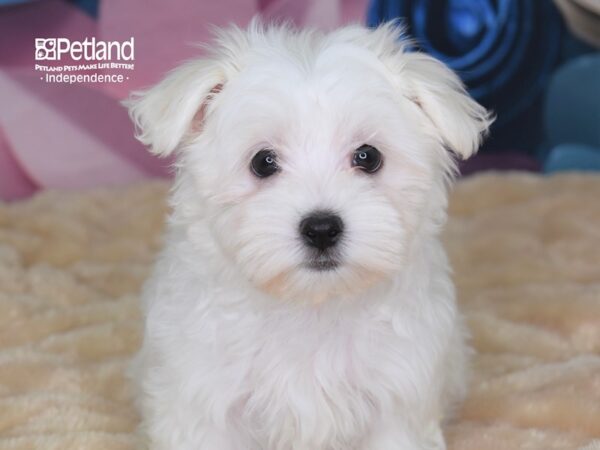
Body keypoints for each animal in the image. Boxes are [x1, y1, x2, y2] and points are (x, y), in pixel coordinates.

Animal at [126, 20, 492, 450]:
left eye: (368, 157)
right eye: (263, 162)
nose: (321, 229)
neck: (311, 306)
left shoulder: (398, 400)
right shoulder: (205, 399)